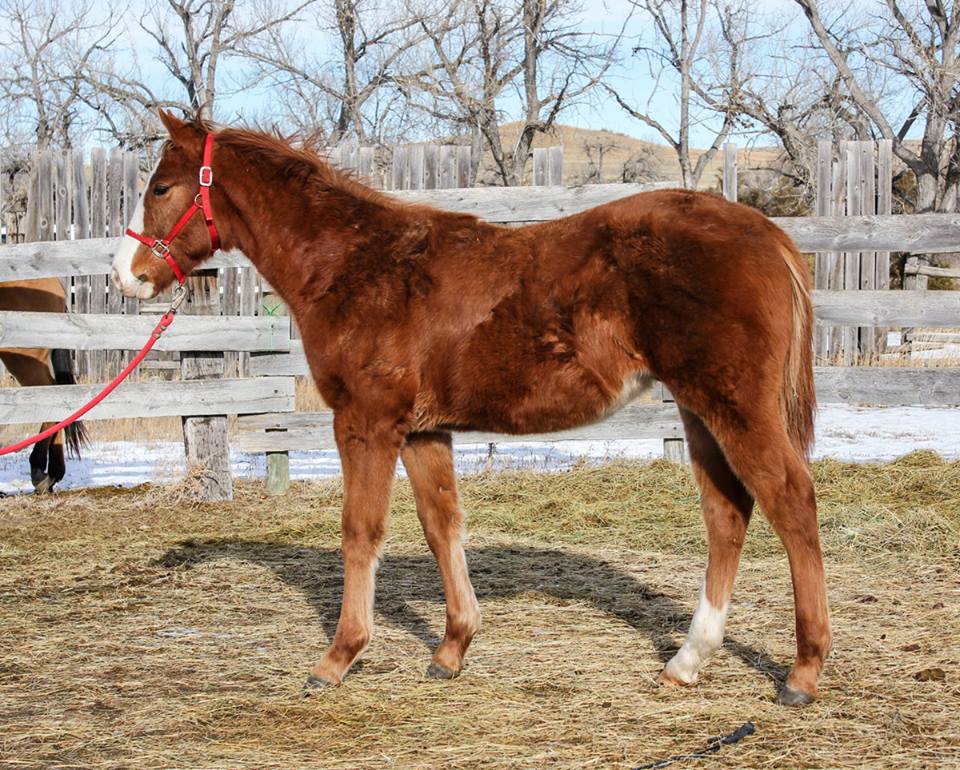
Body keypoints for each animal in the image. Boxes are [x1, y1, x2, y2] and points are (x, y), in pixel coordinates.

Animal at [110, 111, 832, 704]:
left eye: (162, 188)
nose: (126, 276)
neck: (355, 267)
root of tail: (769, 236)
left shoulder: (367, 422)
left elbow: (360, 532)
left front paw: (337, 659)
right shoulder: (424, 431)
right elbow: (442, 527)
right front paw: (452, 649)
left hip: (733, 404)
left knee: (790, 499)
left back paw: (801, 674)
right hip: (698, 408)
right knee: (727, 512)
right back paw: (687, 662)